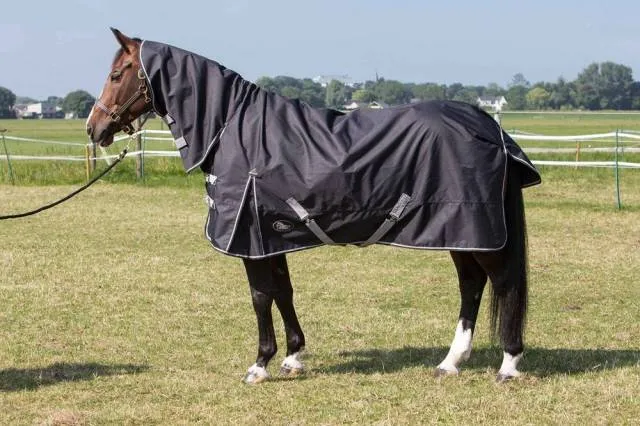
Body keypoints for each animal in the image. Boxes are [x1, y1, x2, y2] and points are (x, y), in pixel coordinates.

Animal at [86, 28, 540, 384]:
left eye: (115, 75)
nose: (94, 128)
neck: (231, 127)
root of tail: (491, 128)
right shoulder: (271, 236)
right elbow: (283, 291)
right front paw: (292, 357)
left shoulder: (249, 238)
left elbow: (260, 296)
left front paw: (260, 364)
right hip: (461, 233)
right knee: (471, 286)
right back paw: (450, 362)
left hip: (476, 231)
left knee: (503, 283)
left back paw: (508, 364)